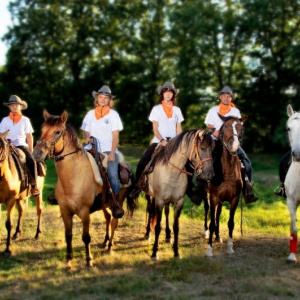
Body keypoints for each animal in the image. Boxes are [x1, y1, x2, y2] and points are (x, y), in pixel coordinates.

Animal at [32, 110, 136, 270]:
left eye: (57, 132)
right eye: (43, 130)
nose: (37, 153)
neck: (73, 178)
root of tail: (127, 168)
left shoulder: (84, 212)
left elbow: (86, 237)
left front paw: (89, 260)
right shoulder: (65, 211)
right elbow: (68, 236)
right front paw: (69, 260)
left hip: (118, 202)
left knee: (114, 221)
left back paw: (110, 247)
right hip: (104, 204)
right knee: (107, 218)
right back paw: (105, 242)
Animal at [139, 127, 214, 258]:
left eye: (212, 149)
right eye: (203, 148)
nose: (211, 174)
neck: (172, 172)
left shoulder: (179, 202)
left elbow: (176, 226)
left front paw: (176, 251)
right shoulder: (159, 201)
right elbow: (157, 226)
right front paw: (154, 252)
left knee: (166, 212)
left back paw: (168, 236)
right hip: (149, 196)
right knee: (150, 210)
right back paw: (148, 233)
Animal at [205, 114, 247, 255]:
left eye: (240, 127)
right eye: (226, 126)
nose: (234, 145)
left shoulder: (234, 198)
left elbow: (230, 223)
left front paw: (230, 247)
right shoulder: (213, 197)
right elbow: (212, 222)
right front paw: (209, 250)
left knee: (218, 214)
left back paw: (218, 237)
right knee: (207, 210)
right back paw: (206, 233)